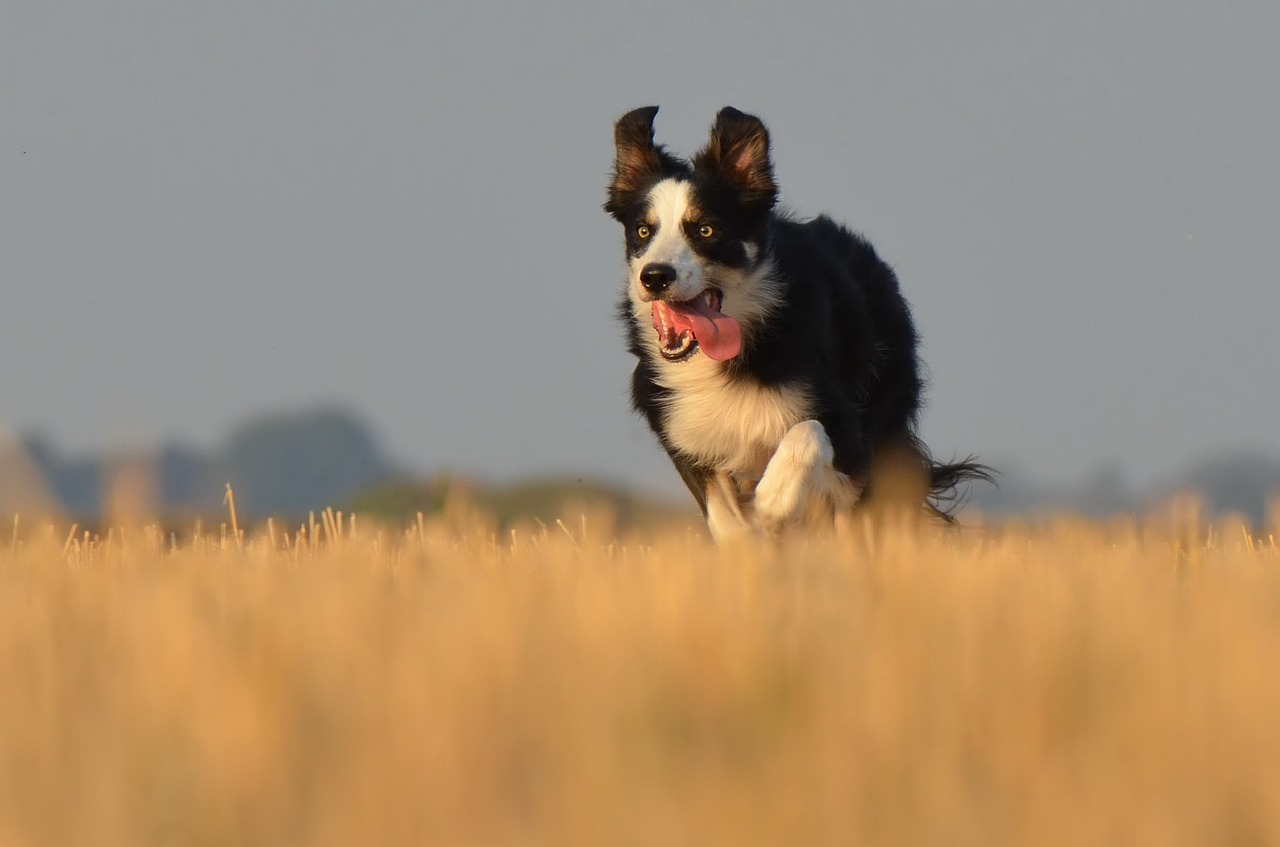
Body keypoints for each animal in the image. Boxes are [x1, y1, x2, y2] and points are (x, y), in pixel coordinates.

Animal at [601, 108, 988, 545]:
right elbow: (726, 521)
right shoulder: (683, 431)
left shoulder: (848, 434)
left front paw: (774, 499)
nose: (654, 277)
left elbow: (807, 432)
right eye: (643, 231)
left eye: (706, 230)